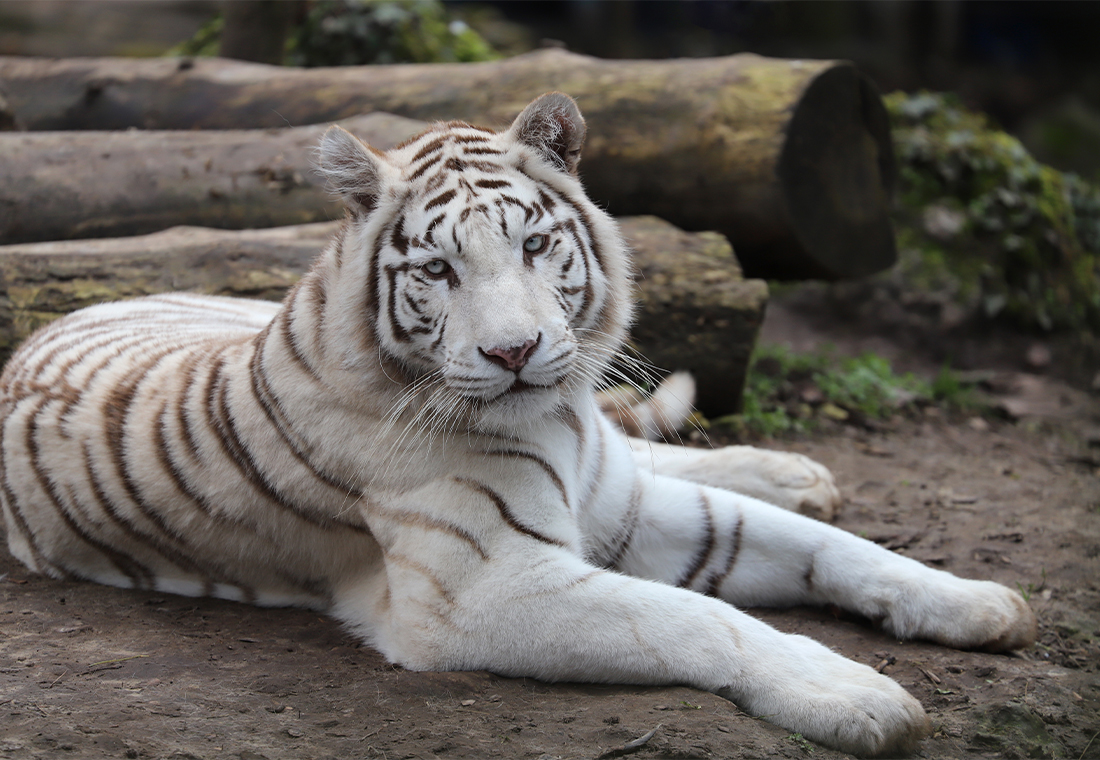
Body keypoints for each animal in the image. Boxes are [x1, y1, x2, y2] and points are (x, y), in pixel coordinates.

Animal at [2, 93, 1029, 756]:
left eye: (535, 245)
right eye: (437, 271)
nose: (516, 351)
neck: (556, 422)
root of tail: (72, 310)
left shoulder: (625, 510)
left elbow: (830, 549)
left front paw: (981, 603)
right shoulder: (485, 587)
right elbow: (701, 620)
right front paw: (855, 694)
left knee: (655, 450)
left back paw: (796, 473)